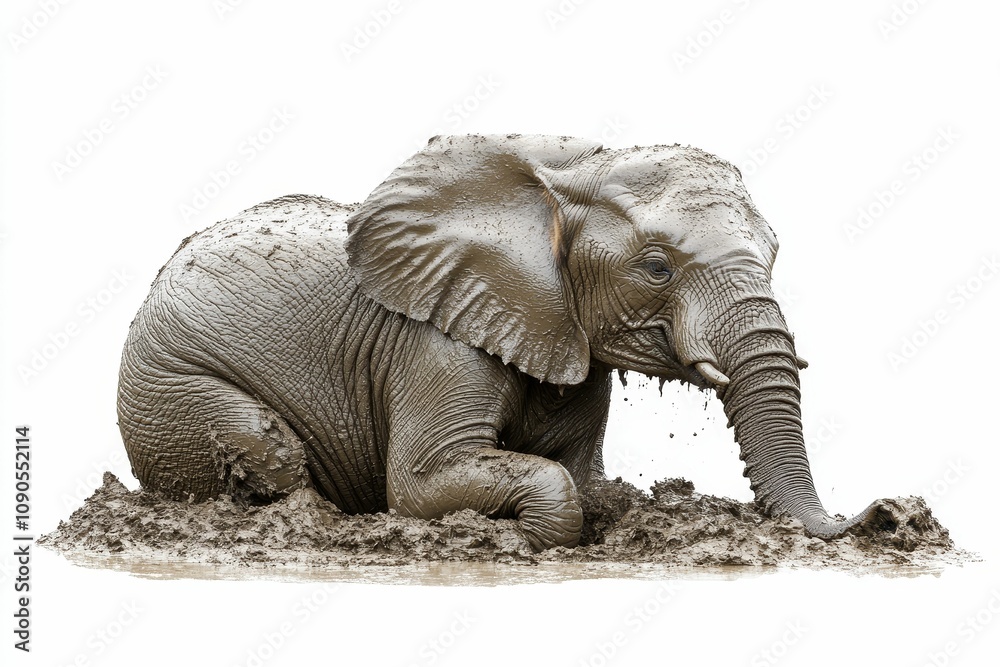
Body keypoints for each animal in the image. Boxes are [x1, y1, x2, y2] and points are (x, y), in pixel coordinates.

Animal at [117, 133, 880, 551]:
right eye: (657, 267)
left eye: (775, 252)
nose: (866, 515)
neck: (567, 178)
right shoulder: (439, 342)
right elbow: (420, 483)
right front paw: (515, 539)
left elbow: (586, 481)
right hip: (168, 390)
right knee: (263, 447)